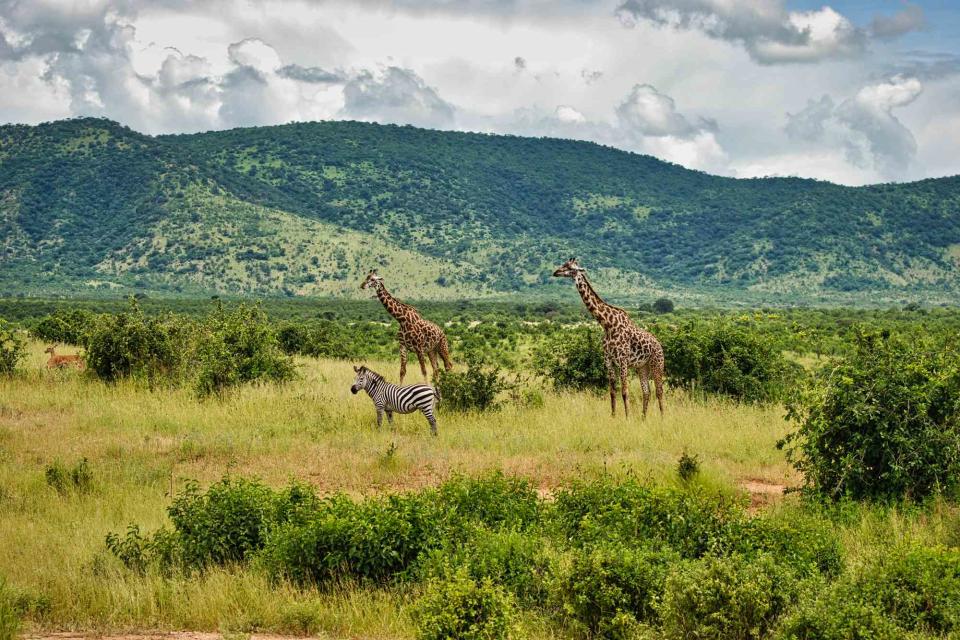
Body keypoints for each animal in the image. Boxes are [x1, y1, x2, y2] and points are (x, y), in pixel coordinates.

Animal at [552, 258, 664, 418]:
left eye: (570, 267)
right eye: (563, 264)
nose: (556, 272)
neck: (607, 324)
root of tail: (659, 345)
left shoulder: (623, 360)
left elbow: (624, 391)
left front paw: (627, 417)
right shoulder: (608, 360)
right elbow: (612, 392)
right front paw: (613, 416)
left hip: (657, 364)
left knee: (659, 391)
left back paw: (662, 417)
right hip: (642, 367)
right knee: (646, 392)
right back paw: (643, 418)